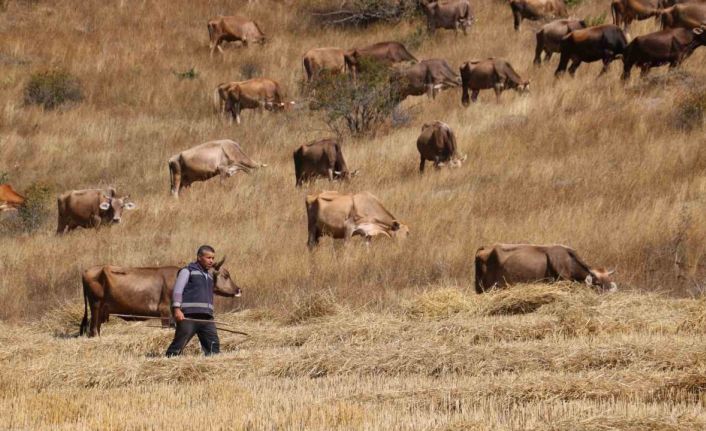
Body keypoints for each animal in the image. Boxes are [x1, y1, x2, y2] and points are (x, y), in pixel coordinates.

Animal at [80, 260, 242, 338]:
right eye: (226, 275)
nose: (238, 290)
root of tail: (88, 270)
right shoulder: (164, 311)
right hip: (96, 305)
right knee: (93, 329)